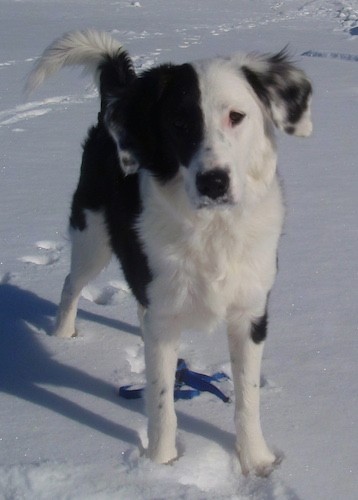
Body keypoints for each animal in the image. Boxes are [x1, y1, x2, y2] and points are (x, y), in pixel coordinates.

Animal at [26, 31, 312, 476]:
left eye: (236, 116)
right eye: (179, 123)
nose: (213, 182)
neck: (212, 230)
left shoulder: (250, 312)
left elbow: (247, 398)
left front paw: (256, 460)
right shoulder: (163, 318)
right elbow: (161, 399)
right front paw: (162, 466)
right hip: (93, 236)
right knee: (71, 283)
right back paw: (62, 335)